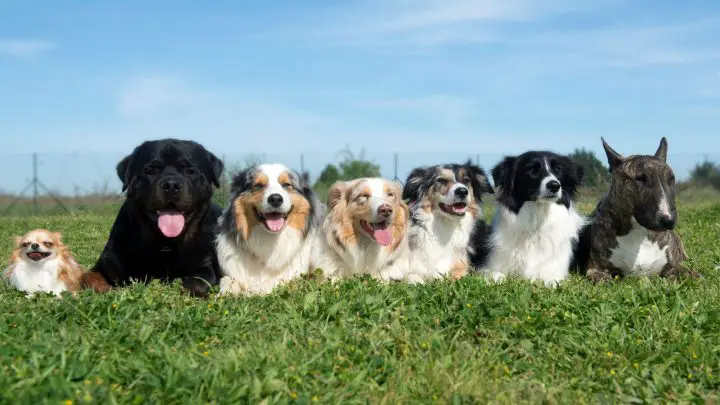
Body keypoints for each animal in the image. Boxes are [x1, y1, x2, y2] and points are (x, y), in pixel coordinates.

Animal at [81, 139, 222, 296]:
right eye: (151, 171)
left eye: (189, 171)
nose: (171, 185)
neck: (165, 243)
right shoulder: (106, 264)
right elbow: (89, 278)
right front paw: (111, 290)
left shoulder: (205, 266)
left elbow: (198, 283)